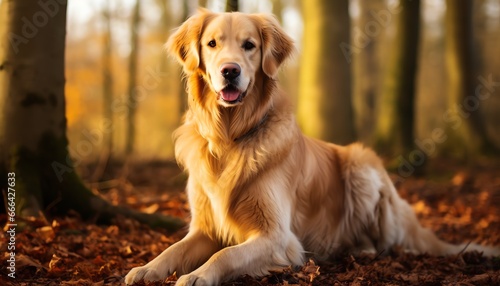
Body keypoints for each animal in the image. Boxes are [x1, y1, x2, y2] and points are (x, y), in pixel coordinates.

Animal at [126, 10, 500, 284]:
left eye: (249, 45)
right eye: (212, 44)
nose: (229, 71)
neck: (230, 137)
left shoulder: (278, 237)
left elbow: (226, 254)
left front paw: (198, 276)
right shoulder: (205, 227)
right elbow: (173, 250)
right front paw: (146, 269)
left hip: (361, 166)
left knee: (390, 243)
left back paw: (362, 250)